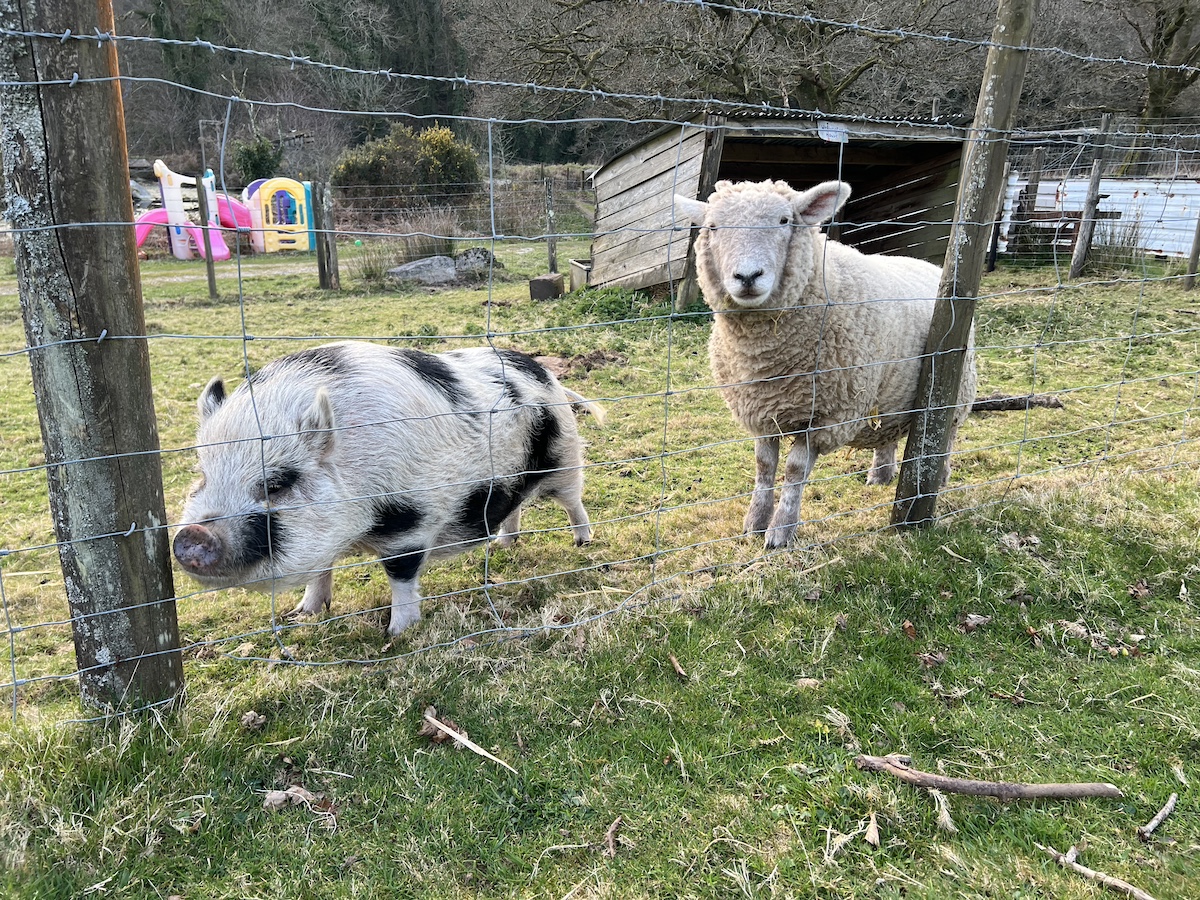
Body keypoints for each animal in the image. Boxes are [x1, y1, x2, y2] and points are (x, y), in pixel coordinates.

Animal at [172, 341, 602, 635]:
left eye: (277, 483)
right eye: (204, 476)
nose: (192, 535)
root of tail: (544, 373)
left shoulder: (411, 519)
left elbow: (401, 574)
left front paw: (397, 633)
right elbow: (320, 571)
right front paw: (302, 615)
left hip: (563, 457)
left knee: (572, 500)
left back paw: (582, 542)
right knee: (514, 506)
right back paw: (502, 545)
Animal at [674, 179, 976, 548]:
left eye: (785, 221)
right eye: (713, 226)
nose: (747, 276)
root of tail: (929, 265)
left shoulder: (823, 417)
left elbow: (794, 472)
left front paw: (780, 533)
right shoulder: (761, 410)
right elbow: (764, 466)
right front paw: (754, 524)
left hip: (956, 388)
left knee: (947, 435)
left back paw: (940, 477)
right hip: (888, 390)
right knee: (887, 431)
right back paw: (880, 475)